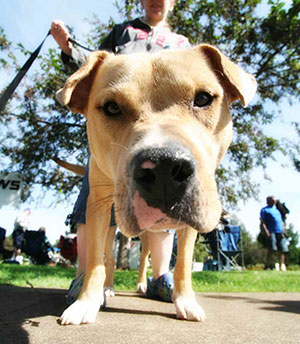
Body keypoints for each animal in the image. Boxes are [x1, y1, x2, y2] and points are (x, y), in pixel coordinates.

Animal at [56, 44, 255, 324]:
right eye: (112, 108)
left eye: (203, 98)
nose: (163, 169)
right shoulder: (96, 206)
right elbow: (95, 259)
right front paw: (85, 303)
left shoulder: (189, 223)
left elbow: (183, 263)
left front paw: (185, 300)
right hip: (109, 221)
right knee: (107, 256)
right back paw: (106, 288)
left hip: (150, 233)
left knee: (144, 257)